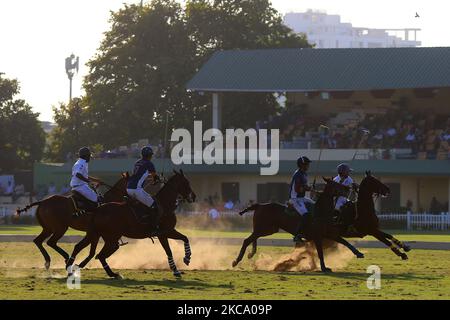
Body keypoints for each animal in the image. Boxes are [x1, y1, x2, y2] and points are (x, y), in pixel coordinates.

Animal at [66, 170, 196, 278]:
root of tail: (98, 208)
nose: (193, 197)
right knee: (100, 254)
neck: (165, 205)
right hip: (111, 237)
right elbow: (169, 250)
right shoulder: (163, 233)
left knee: (88, 250)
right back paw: (110, 273)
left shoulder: (168, 231)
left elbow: (185, 238)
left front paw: (186, 259)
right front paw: (179, 267)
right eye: (186, 182)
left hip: (97, 234)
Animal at [236, 178, 366, 272]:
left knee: (253, 238)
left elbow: (345, 242)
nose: (348, 187)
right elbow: (320, 253)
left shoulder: (330, 234)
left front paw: (359, 253)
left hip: (268, 229)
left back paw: (250, 254)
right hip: (264, 228)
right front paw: (324, 268)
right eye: (335, 184)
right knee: (247, 240)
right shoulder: (317, 237)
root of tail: (259, 205)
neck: (321, 212)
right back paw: (236, 261)